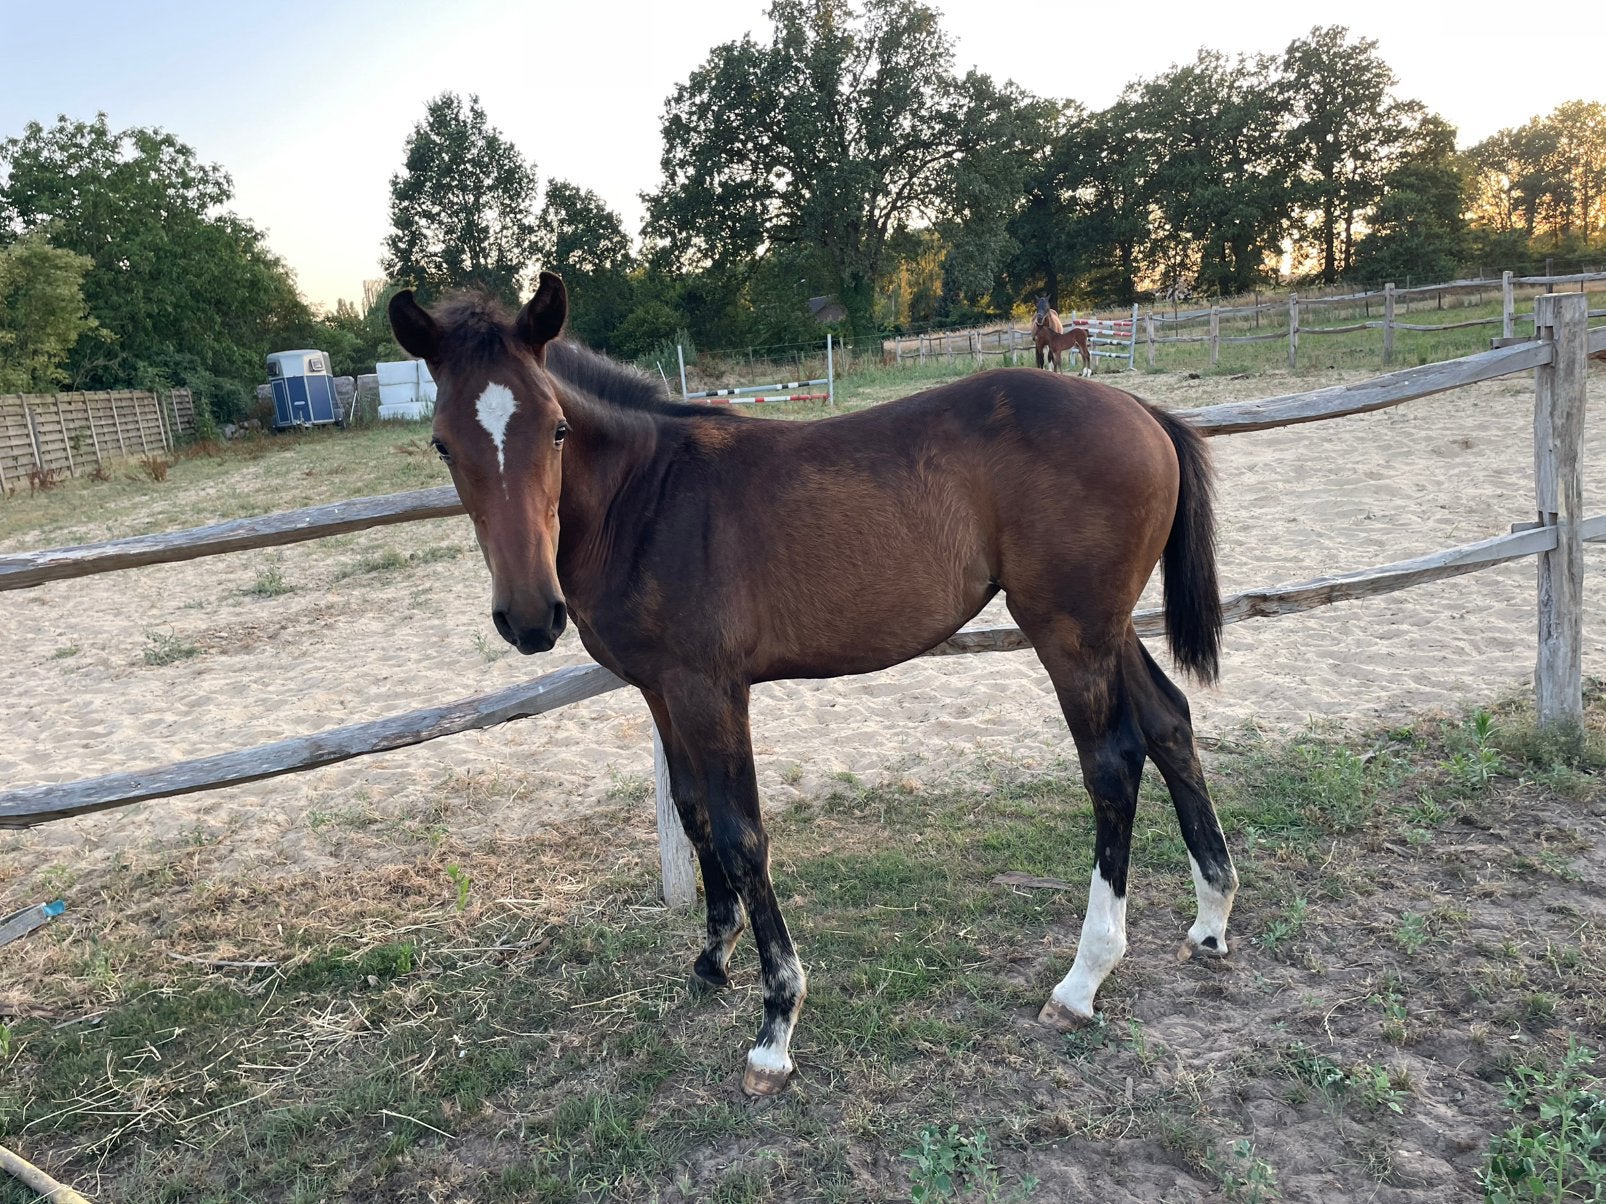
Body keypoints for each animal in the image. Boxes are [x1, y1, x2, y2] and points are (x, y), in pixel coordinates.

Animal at [388, 274, 1239, 1097]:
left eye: (557, 429)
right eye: (441, 444)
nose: (531, 617)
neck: (647, 498)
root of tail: (1140, 408)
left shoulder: (711, 689)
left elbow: (742, 834)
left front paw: (775, 1027)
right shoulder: (661, 689)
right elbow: (694, 813)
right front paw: (712, 958)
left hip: (1069, 631)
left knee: (1112, 765)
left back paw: (1083, 979)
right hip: (1107, 628)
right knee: (1169, 724)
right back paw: (1210, 920)